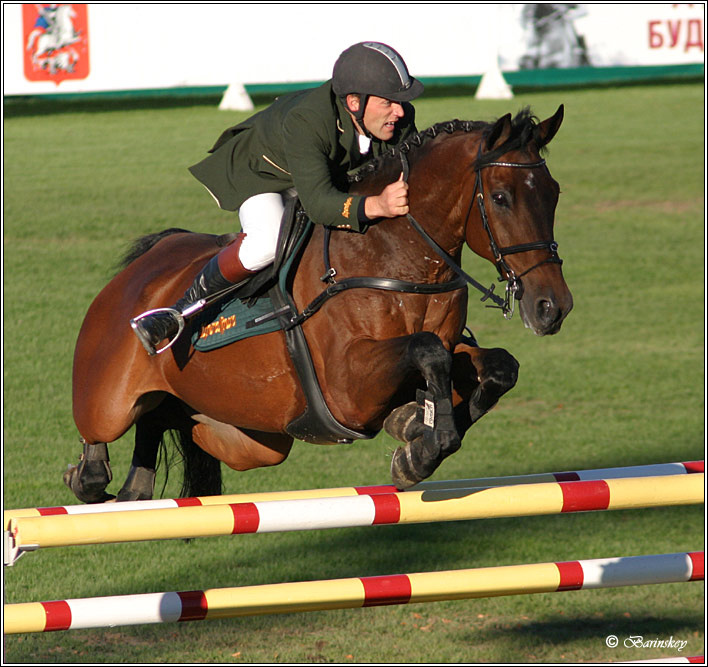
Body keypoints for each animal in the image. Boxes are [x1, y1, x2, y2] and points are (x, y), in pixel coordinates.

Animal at [65, 106, 572, 504]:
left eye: (554, 194)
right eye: (501, 198)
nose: (552, 307)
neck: (396, 255)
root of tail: (138, 271)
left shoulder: (448, 348)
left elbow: (497, 366)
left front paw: (413, 431)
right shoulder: (346, 386)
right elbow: (427, 350)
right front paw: (419, 439)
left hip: (247, 439)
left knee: (161, 421)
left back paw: (133, 484)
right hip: (108, 401)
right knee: (99, 444)